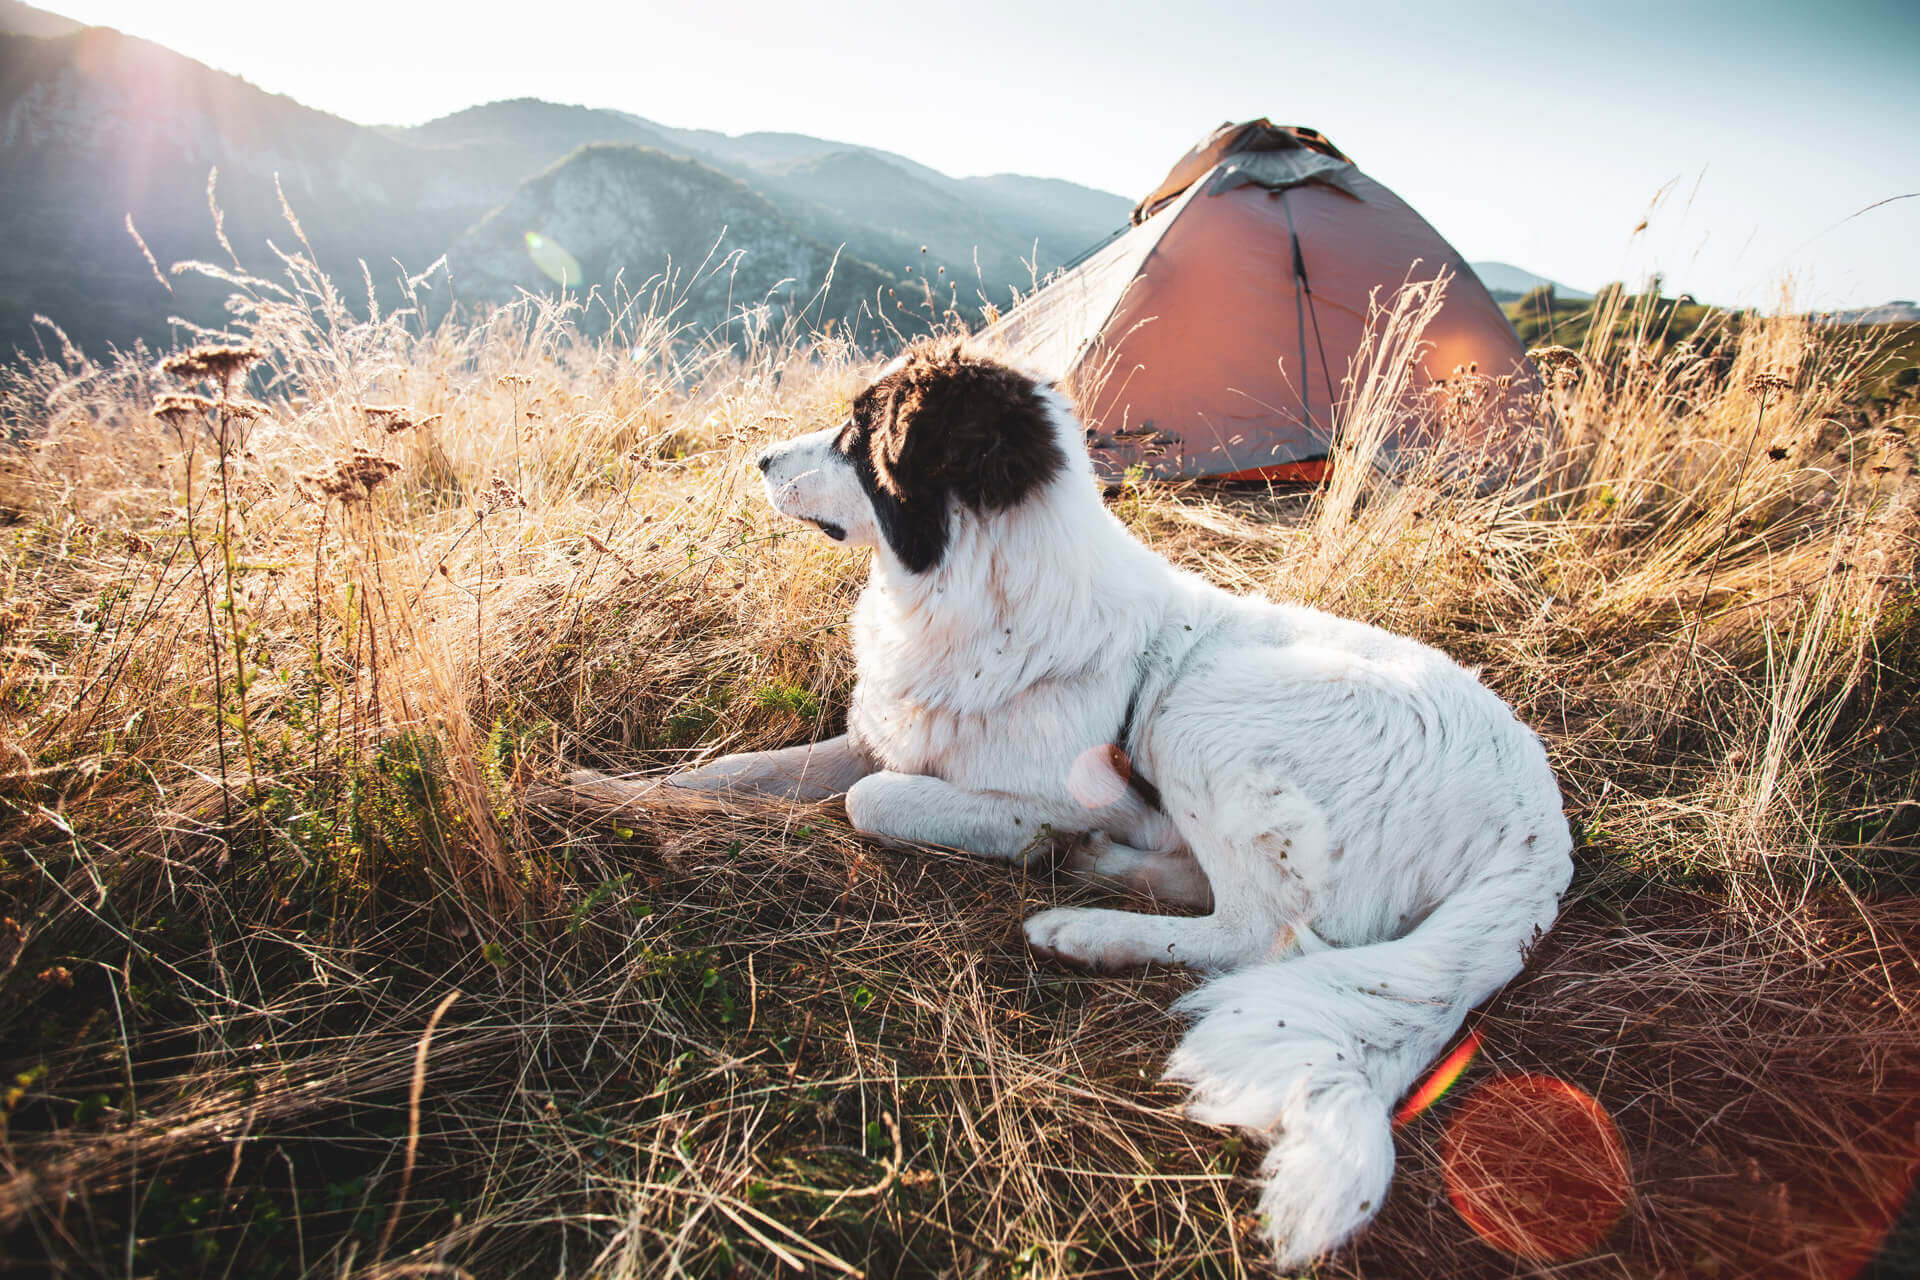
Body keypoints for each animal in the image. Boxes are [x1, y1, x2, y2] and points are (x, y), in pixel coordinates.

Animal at [729, 343, 1559, 1274]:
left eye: (854, 434)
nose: (758, 459)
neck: (983, 596)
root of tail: (1537, 827)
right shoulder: (879, 732)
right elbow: (746, 769)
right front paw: (650, 791)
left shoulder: (1035, 802)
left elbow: (871, 799)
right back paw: (1111, 869)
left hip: (1203, 712)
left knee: (1258, 934)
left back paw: (1086, 929)